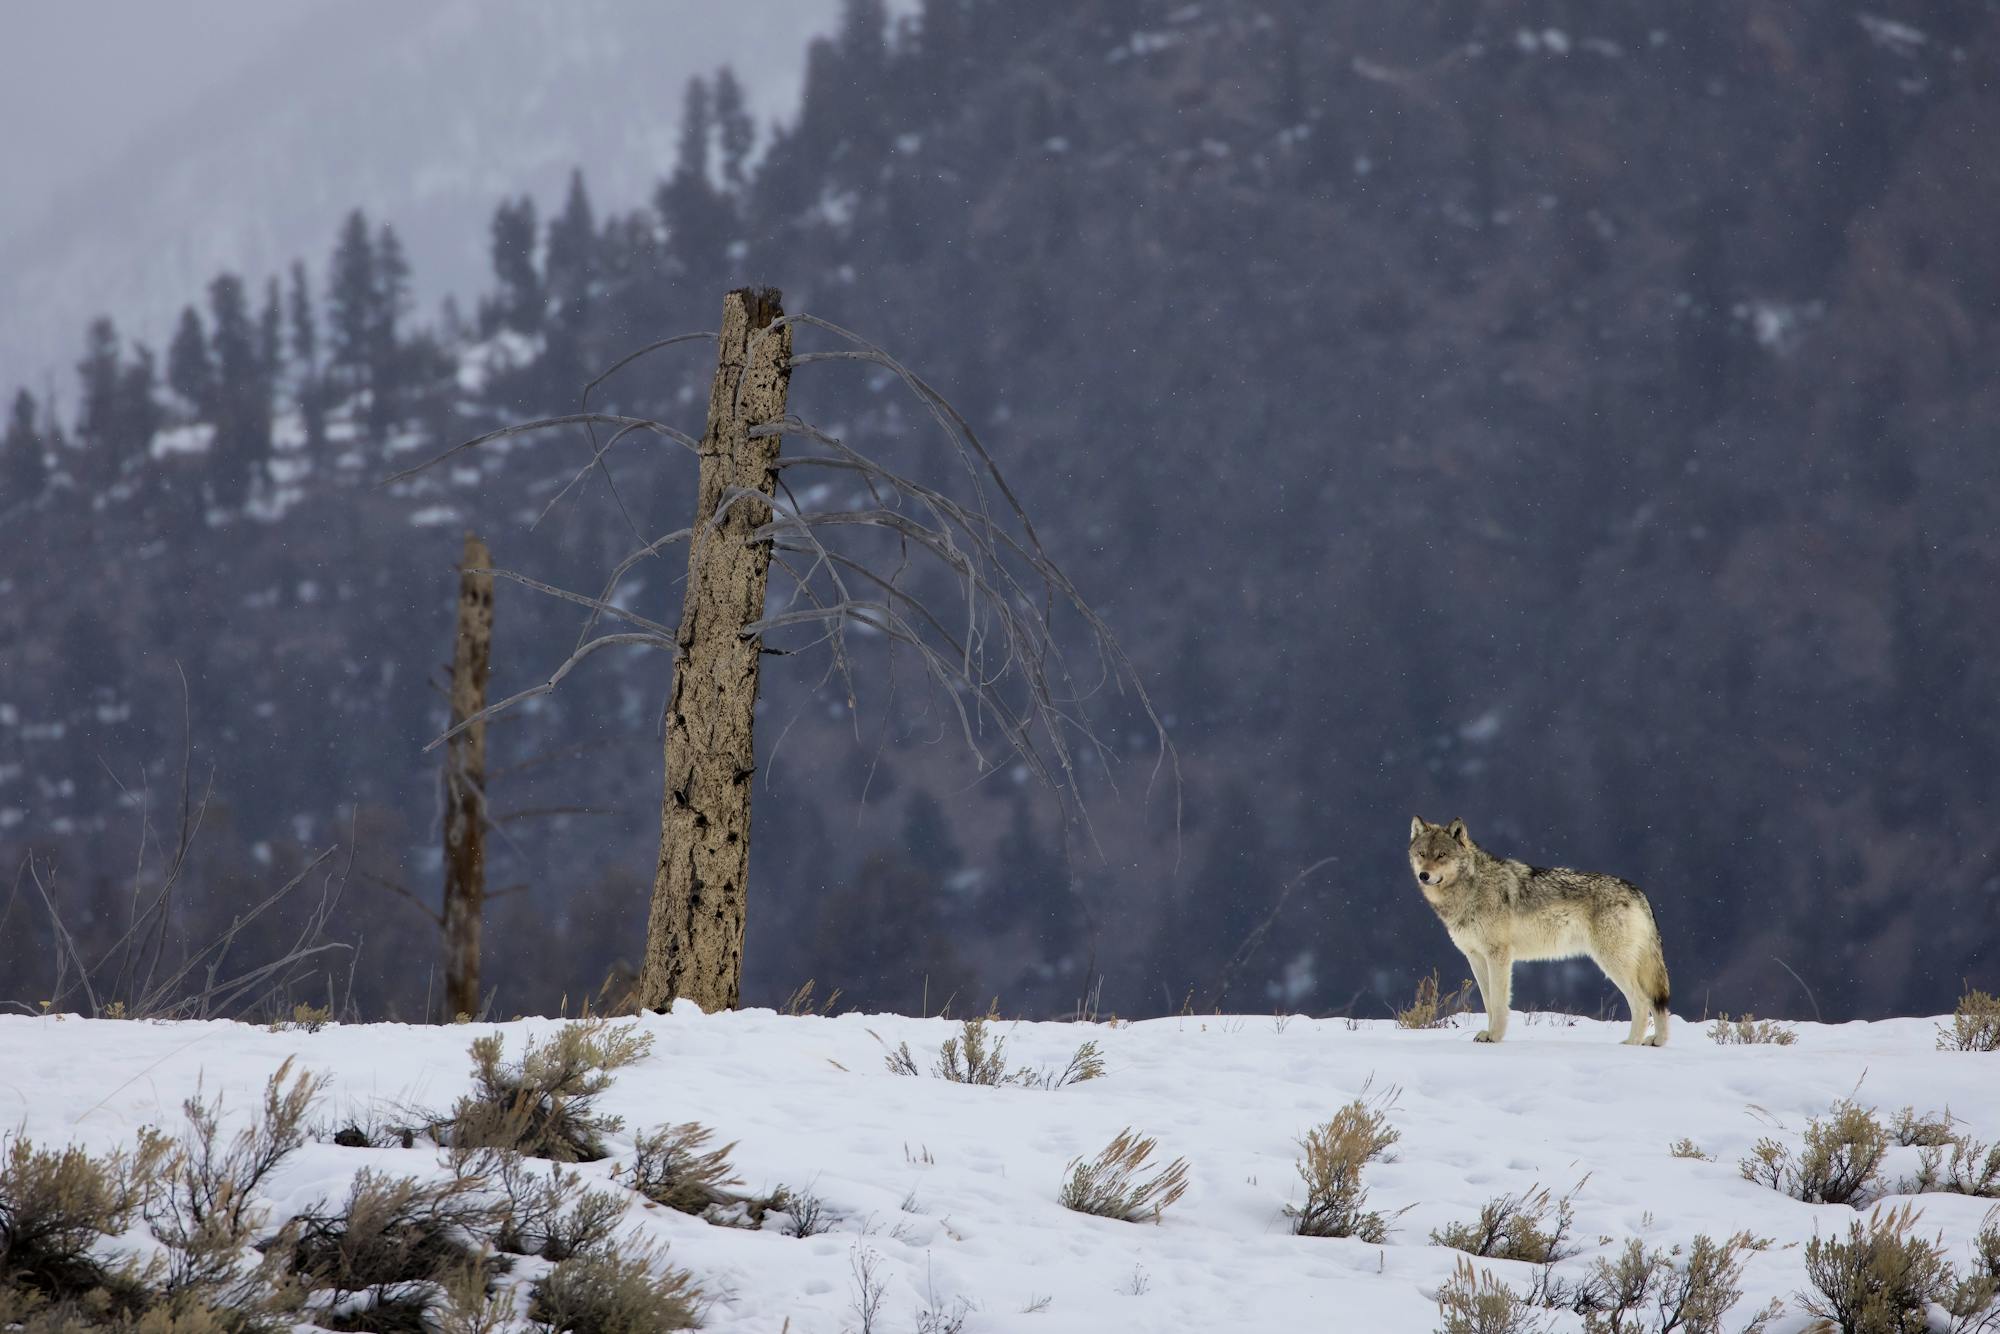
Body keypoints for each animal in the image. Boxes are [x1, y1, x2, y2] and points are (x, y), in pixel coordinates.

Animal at [1408, 820, 1672, 1048]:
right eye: (1422, 853)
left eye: (1441, 855)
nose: (1424, 875)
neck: (1471, 888)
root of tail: (1638, 891)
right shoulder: (1476, 957)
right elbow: (1488, 1002)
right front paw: (1488, 1034)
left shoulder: (1498, 955)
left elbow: (1498, 1002)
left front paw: (1495, 1037)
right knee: (1656, 1003)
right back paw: (1656, 1041)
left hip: (1612, 963)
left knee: (1642, 1001)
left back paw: (1632, 1043)